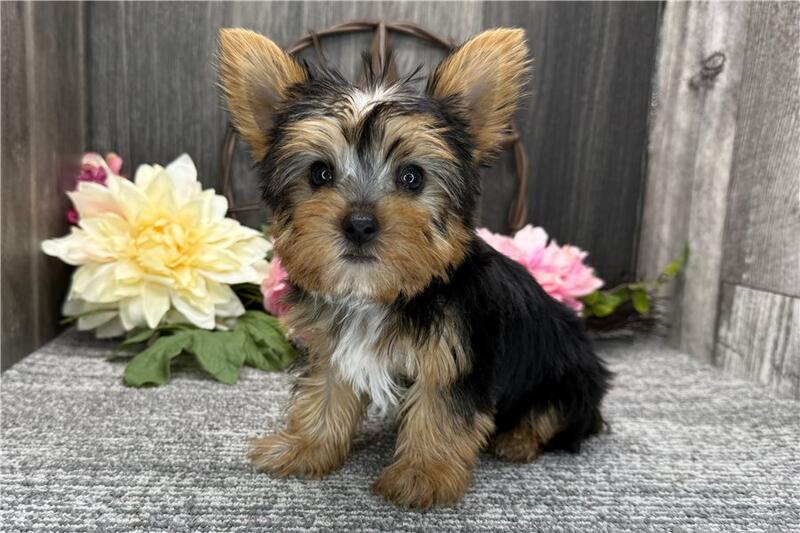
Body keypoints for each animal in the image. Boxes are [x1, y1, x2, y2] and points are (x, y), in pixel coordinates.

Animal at [216, 27, 611, 509]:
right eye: (320, 173)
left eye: (412, 177)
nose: (359, 223)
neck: (381, 294)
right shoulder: (334, 346)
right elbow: (323, 393)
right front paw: (306, 446)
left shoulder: (456, 354)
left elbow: (440, 412)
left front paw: (423, 474)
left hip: (568, 379)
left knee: (556, 418)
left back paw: (517, 440)